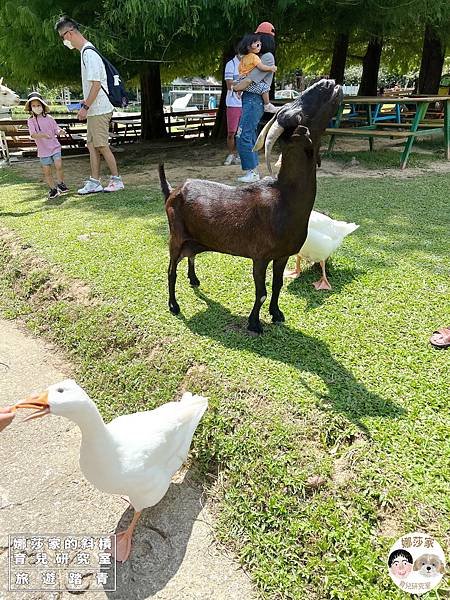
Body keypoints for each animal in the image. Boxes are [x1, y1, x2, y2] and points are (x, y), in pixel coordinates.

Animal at [159, 78, 342, 332]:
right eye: (297, 116)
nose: (328, 82)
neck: (284, 197)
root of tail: (173, 191)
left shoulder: (282, 255)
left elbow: (277, 285)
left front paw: (277, 314)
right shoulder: (260, 256)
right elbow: (261, 292)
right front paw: (254, 324)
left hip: (195, 240)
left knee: (191, 256)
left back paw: (194, 280)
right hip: (175, 237)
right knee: (170, 270)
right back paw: (173, 305)